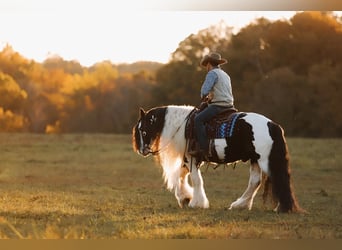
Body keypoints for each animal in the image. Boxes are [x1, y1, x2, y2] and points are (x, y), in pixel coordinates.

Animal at [132, 105, 302, 213]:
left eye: (143, 130)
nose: (142, 150)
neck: (182, 126)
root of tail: (273, 125)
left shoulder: (192, 158)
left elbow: (196, 180)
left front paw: (196, 203)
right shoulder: (189, 159)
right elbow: (181, 176)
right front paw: (185, 198)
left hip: (265, 160)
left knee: (277, 179)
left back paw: (280, 207)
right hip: (255, 160)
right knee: (255, 182)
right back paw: (240, 205)